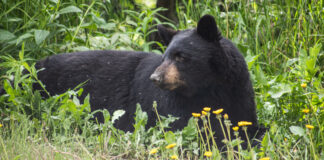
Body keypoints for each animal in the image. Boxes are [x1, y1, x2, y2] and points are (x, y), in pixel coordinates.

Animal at [33, 15, 260, 146]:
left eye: (181, 56)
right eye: (165, 56)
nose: (155, 78)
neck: (208, 89)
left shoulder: (239, 93)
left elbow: (246, 125)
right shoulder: (171, 107)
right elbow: (187, 130)